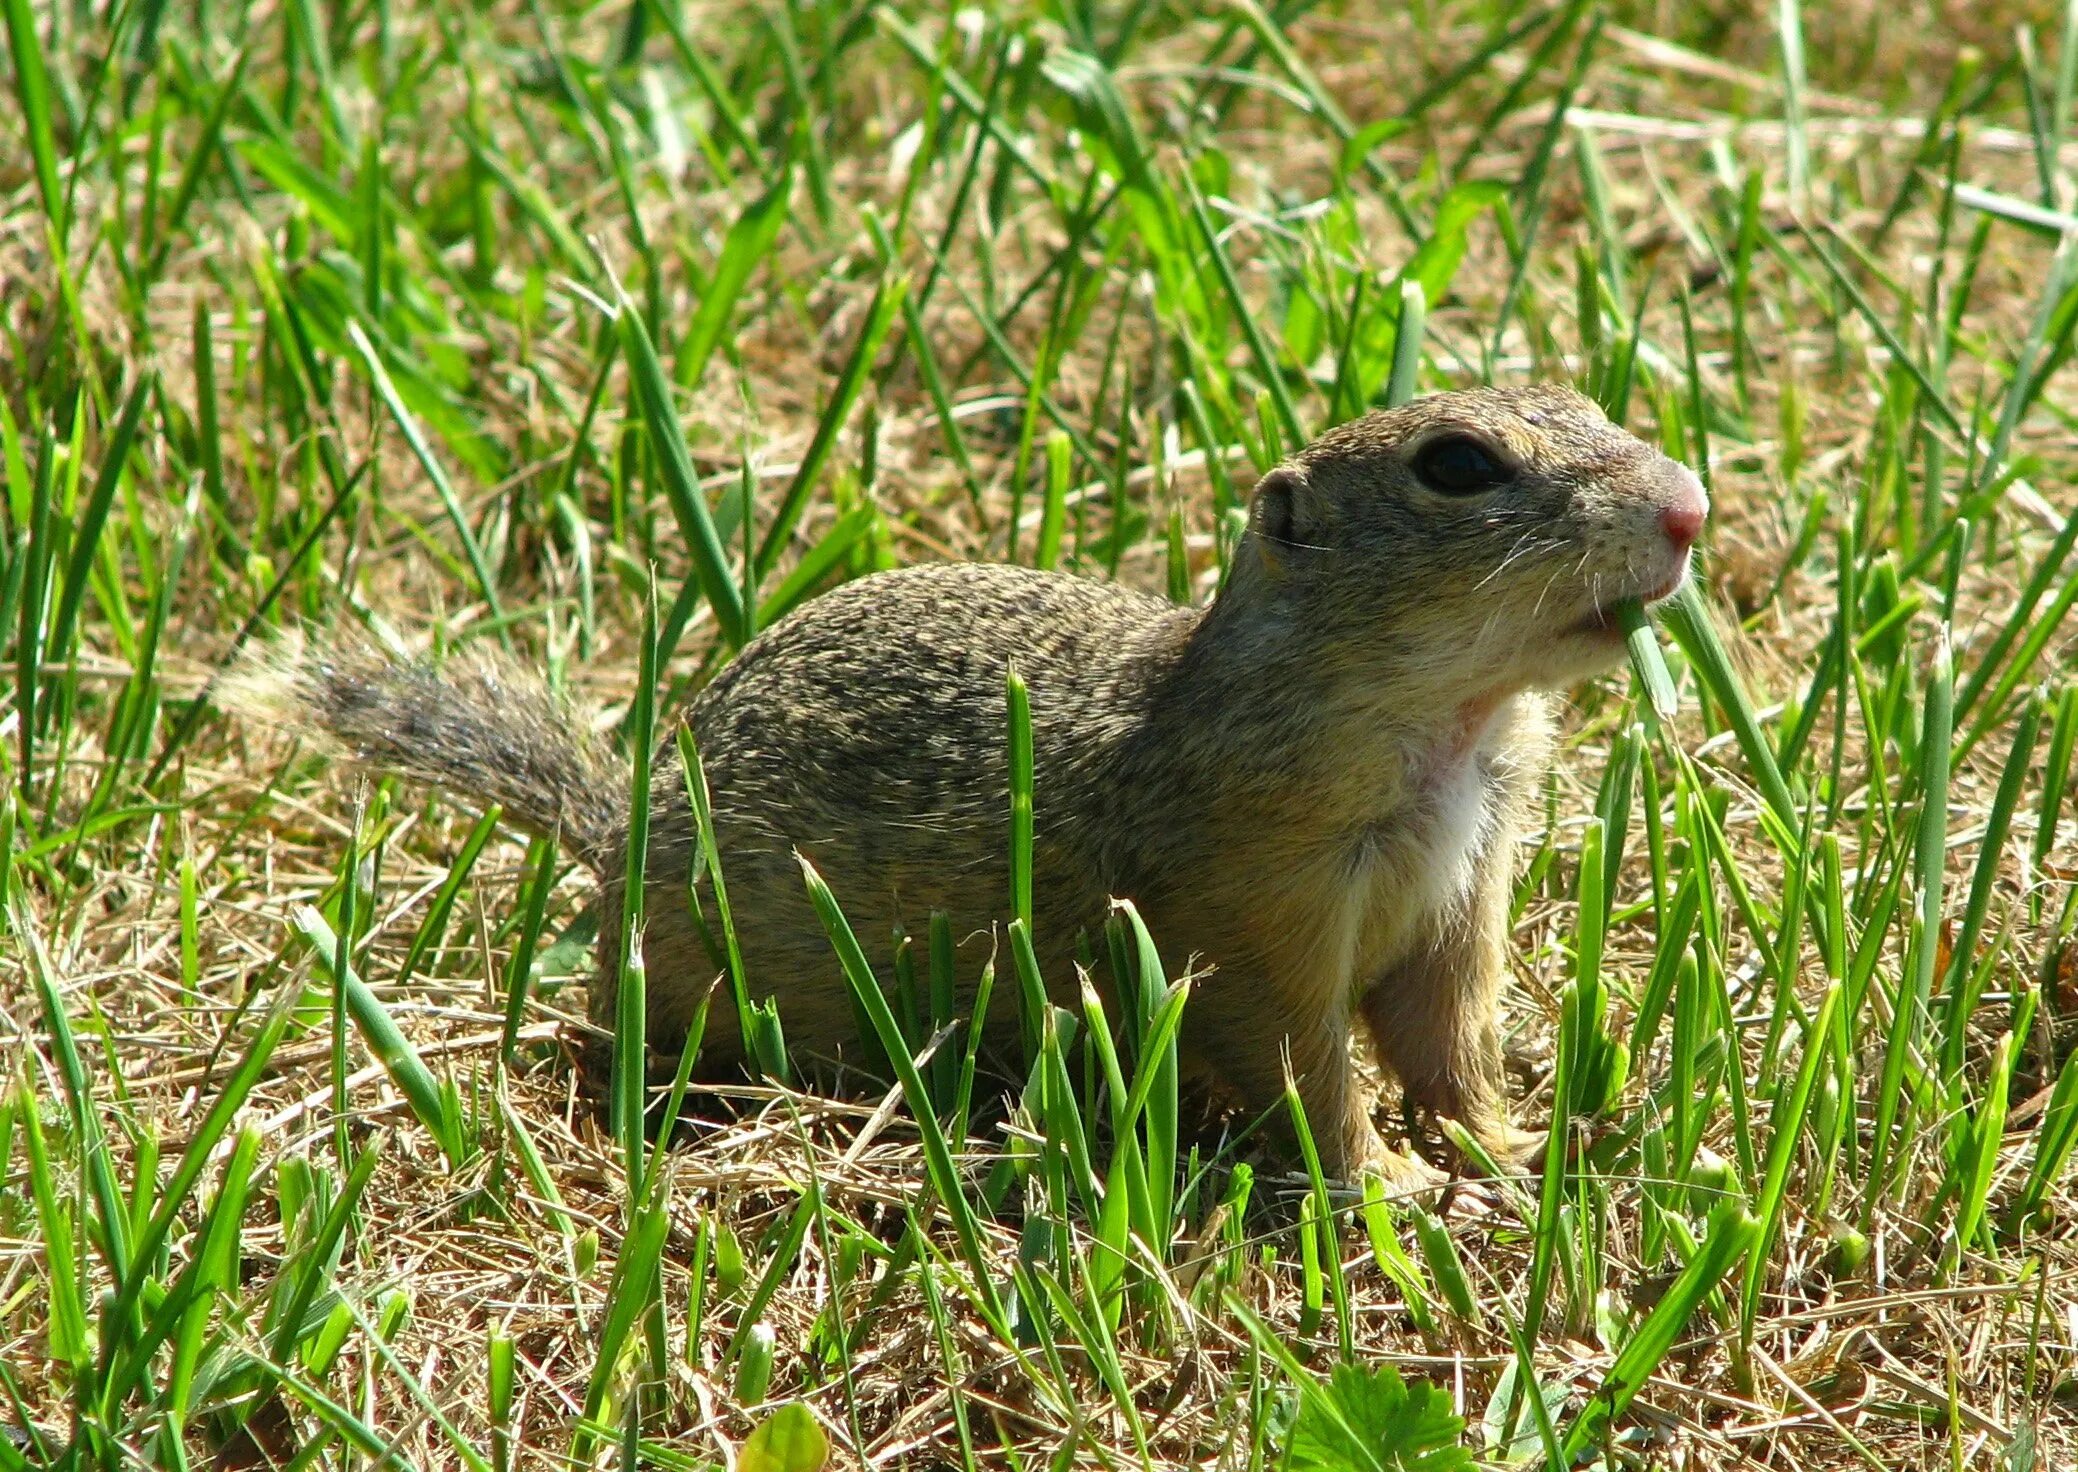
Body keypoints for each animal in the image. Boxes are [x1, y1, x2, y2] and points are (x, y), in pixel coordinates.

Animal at [238, 384, 1703, 1180]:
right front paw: (1387, 1179)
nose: (1689, 507)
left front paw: (1514, 1148)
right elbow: (1300, 1064)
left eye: (1585, 404)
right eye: (1458, 464)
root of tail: (609, 837)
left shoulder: (1464, 890)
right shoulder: (1253, 905)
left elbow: (1445, 1039)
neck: (1450, 724)